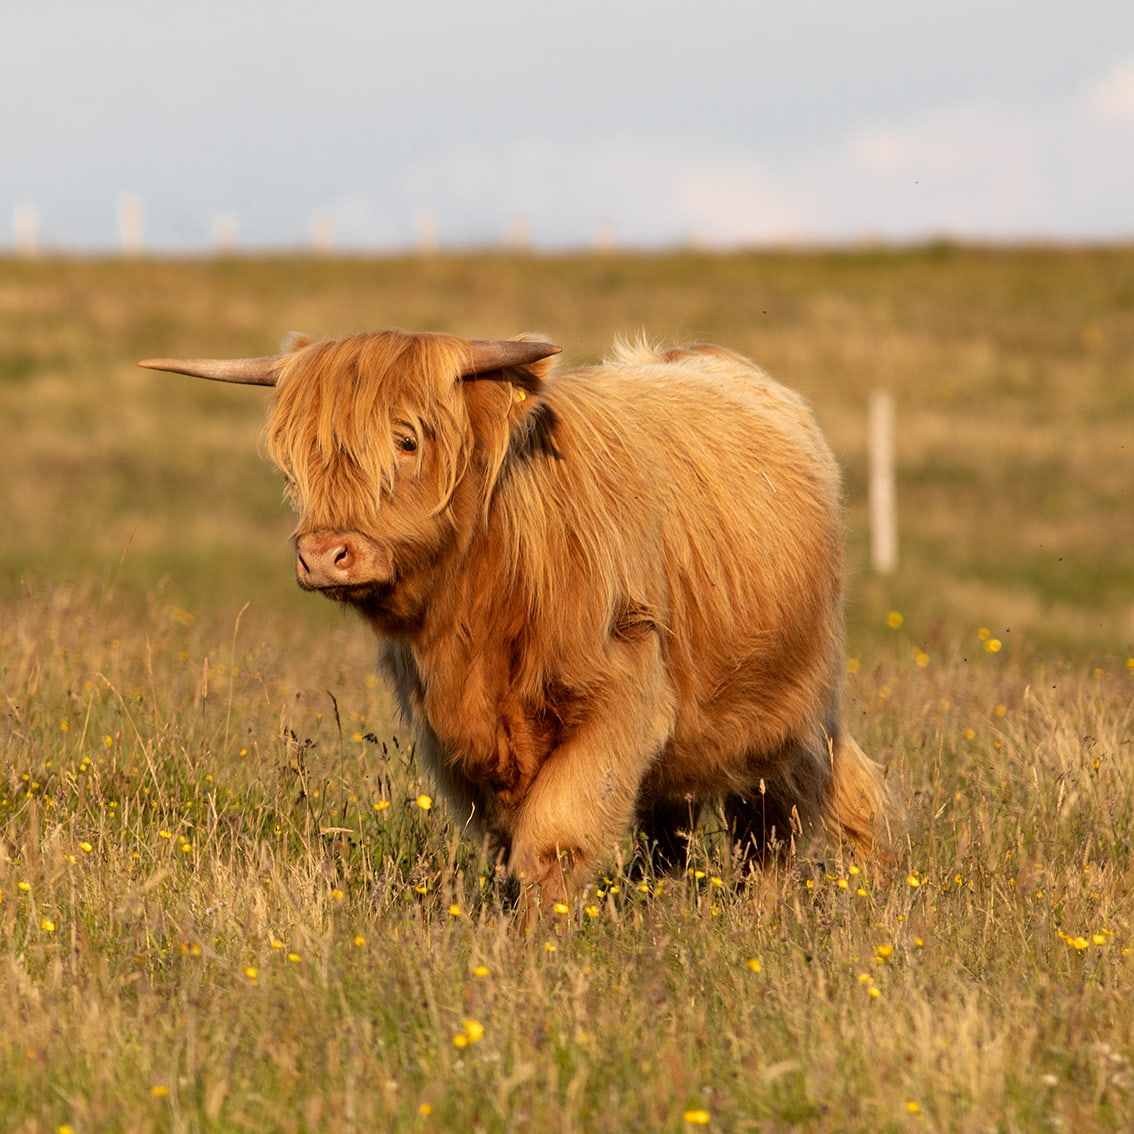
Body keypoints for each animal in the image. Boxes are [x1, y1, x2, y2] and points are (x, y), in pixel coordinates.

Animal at [139, 328, 884, 911]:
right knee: (671, 827)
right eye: (298, 457)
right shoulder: (453, 732)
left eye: (406, 441)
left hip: (788, 710)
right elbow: (510, 841)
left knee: (787, 817)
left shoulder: (620, 696)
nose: (325, 554)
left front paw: (535, 950)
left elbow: (554, 837)